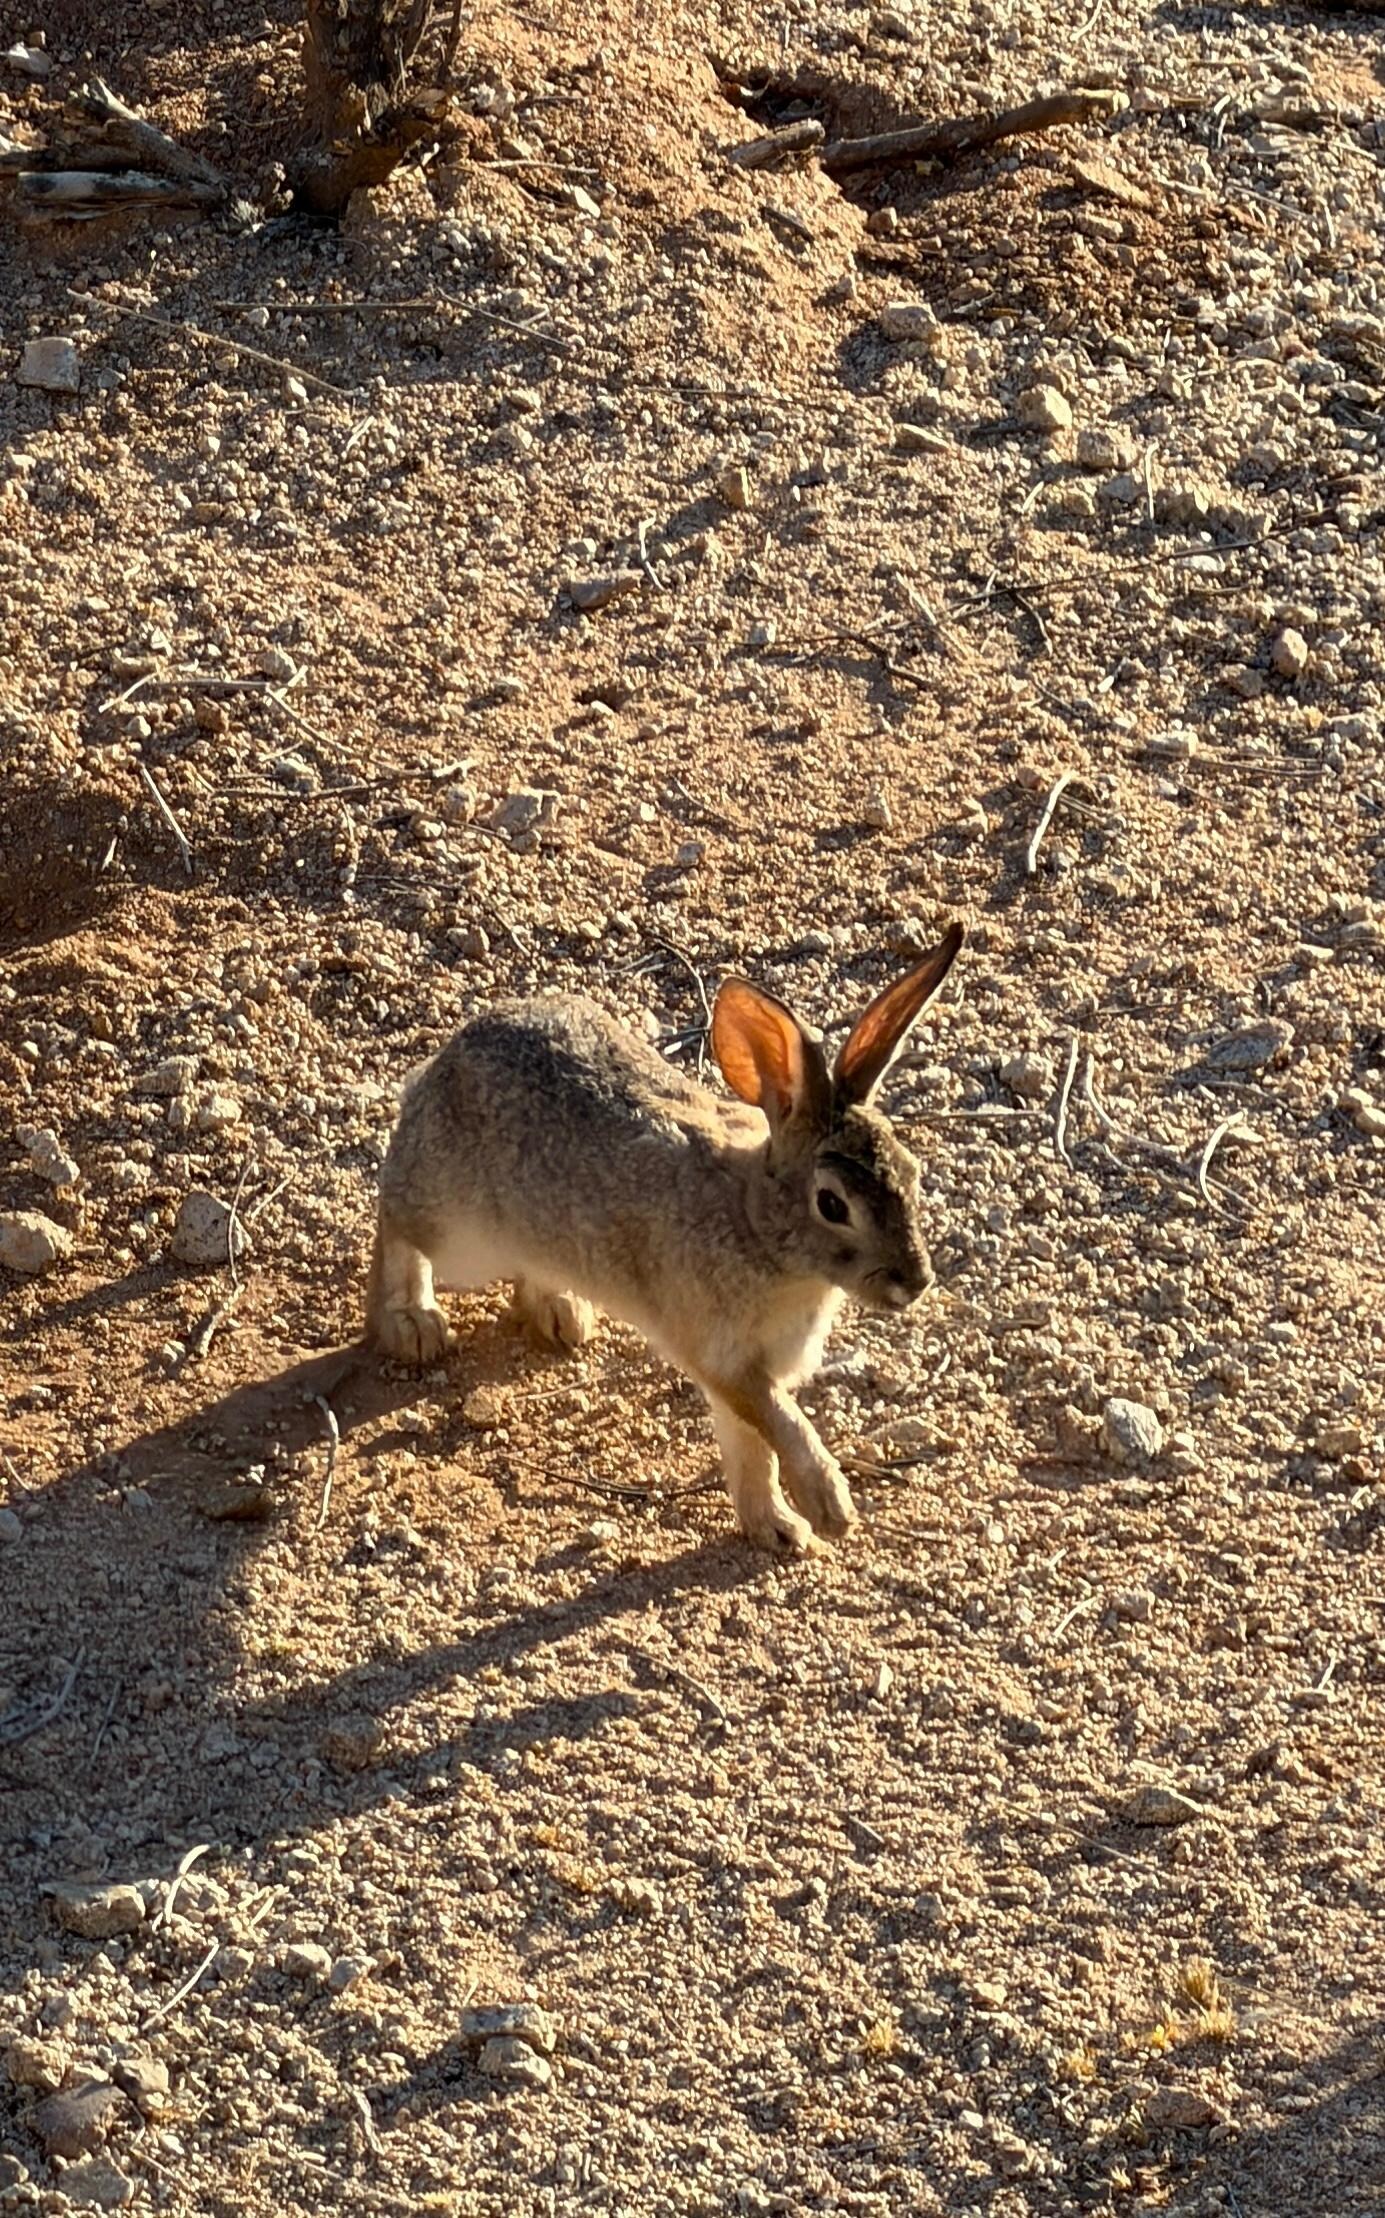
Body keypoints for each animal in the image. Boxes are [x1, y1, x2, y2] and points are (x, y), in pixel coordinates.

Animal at [366, 920, 964, 1555]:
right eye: (832, 1204)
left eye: (912, 1172)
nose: (916, 1281)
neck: (757, 1227)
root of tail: (450, 1057)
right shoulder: (724, 1356)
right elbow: (782, 1426)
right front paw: (829, 1507)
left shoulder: (751, 1372)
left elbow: (753, 1448)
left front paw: (779, 1528)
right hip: (460, 1233)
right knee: (396, 1219)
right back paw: (412, 1324)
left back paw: (561, 1310)